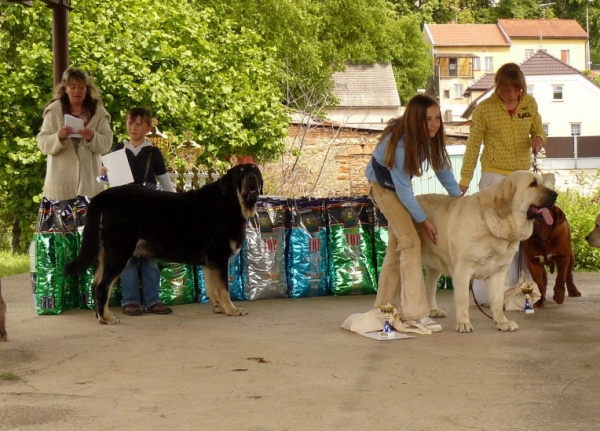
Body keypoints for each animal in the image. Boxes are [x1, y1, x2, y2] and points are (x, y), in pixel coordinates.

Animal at [65, 164, 262, 326]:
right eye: (241, 173)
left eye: (255, 170)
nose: (252, 177)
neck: (231, 202)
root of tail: (103, 197)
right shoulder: (219, 257)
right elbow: (223, 289)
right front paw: (232, 310)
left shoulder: (210, 262)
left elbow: (212, 288)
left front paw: (219, 308)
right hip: (119, 252)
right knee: (102, 286)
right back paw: (106, 318)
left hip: (105, 254)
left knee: (95, 284)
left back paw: (101, 315)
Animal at [414, 170, 556, 332]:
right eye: (532, 184)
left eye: (542, 183)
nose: (556, 194)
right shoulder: (462, 270)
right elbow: (463, 299)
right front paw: (463, 323)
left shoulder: (498, 273)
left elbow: (497, 300)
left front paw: (502, 322)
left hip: (435, 265)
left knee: (429, 286)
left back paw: (433, 310)